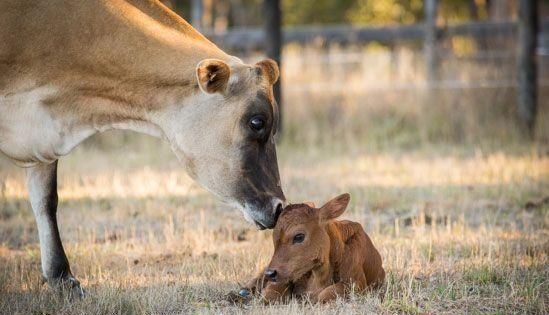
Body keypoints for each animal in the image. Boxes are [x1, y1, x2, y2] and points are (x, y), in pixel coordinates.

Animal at [240, 194, 386, 304]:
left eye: (299, 236)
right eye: (274, 237)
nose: (271, 273)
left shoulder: (357, 284)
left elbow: (327, 293)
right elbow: (270, 295)